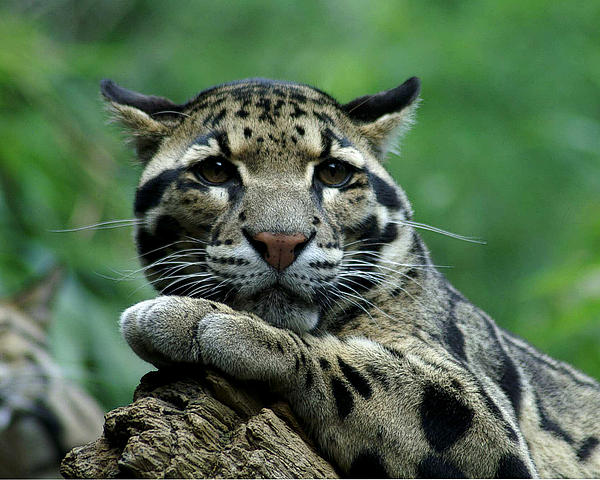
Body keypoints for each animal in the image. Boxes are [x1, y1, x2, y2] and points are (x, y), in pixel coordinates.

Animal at [101, 77, 596, 478]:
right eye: (215, 171)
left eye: (334, 172)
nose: (280, 241)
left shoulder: (486, 419)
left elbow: (352, 365)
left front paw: (201, 322)